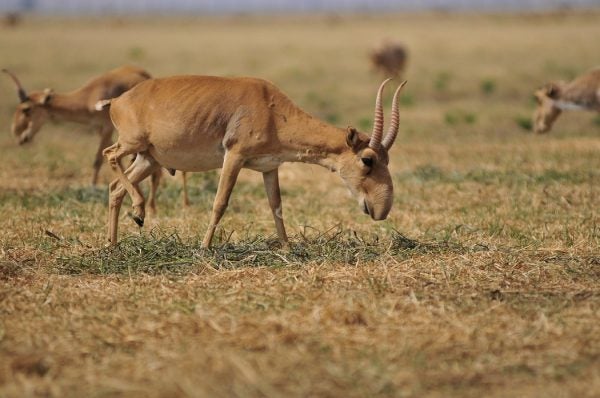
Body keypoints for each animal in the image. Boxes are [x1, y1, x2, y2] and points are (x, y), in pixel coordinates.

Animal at [99, 75, 408, 246]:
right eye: (367, 159)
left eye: (387, 158)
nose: (381, 210)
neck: (271, 107)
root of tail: (117, 101)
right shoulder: (234, 157)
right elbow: (220, 202)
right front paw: (204, 247)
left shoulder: (269, 167)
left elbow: (276, 206)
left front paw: (287, 248)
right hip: (133, 145)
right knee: (109, 155)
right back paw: (138, 211)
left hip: (148, 159)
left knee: (115, 188)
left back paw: (113, 244)